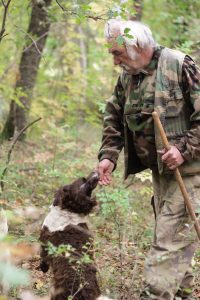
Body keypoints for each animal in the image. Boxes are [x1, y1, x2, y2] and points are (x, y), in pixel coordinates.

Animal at [39, 171, 112, 300]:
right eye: (83, 180)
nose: (96, 172)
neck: (67, 211)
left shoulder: (44, 242)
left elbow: (43, 258)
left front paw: (43, 268)